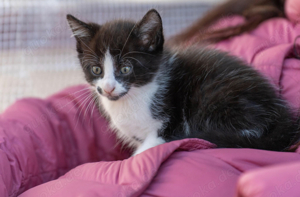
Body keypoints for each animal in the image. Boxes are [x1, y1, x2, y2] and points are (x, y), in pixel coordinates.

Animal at [67, 9, 298, 155]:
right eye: (96, 69)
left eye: (126, 68)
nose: (108, 88)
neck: (137, 95)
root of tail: (282, 114)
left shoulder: (168, 126)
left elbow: (145, 150)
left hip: (214, 97)